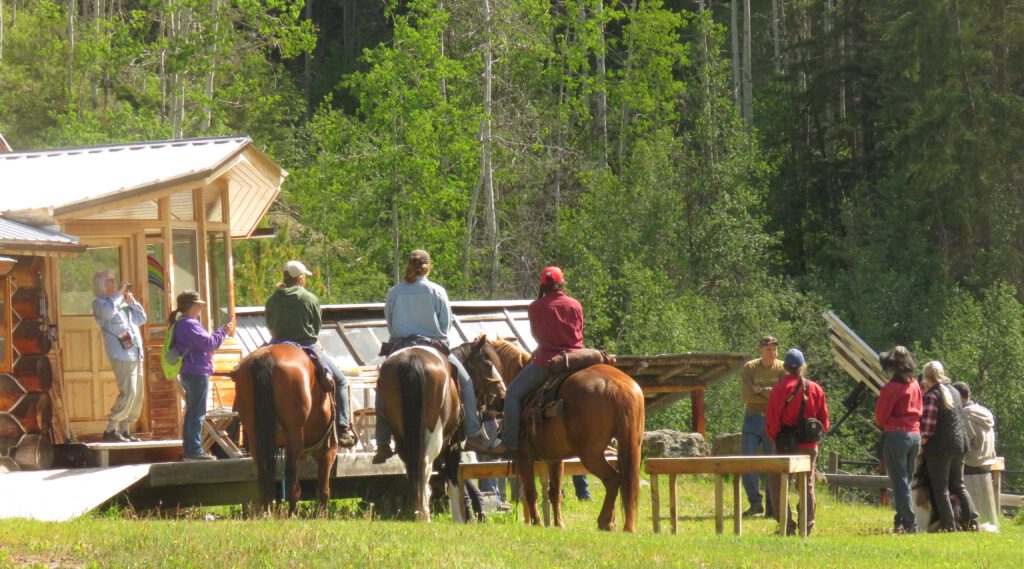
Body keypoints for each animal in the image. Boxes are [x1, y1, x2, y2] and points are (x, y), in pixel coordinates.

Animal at [232, 341, 335, 515]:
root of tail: (266, 357)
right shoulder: (328, 449)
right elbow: (323, 488)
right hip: (294, 432)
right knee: (291, 474)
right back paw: (292, 512)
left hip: (254, 434)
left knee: (263, 471)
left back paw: (266, 511)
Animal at [376, 335, 503, 521]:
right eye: (488, 364)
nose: (503, 396)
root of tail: (412, 360)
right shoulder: (453, 446)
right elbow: (453, 484)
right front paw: (458, 519)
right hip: (434, 433)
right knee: (425, 465)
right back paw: (424, 514)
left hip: (402, 438)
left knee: (414, 470)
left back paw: (418, 512)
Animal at [485, 335, 638, 532]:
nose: (497, 401)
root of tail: (616, 386)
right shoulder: (555, 459)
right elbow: (554, 493)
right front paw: (558, 524)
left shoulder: (524, 456)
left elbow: (531, 492)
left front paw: (537, 522)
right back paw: (615, 523)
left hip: (591, 455)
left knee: (613, 480)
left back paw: (604, 521)